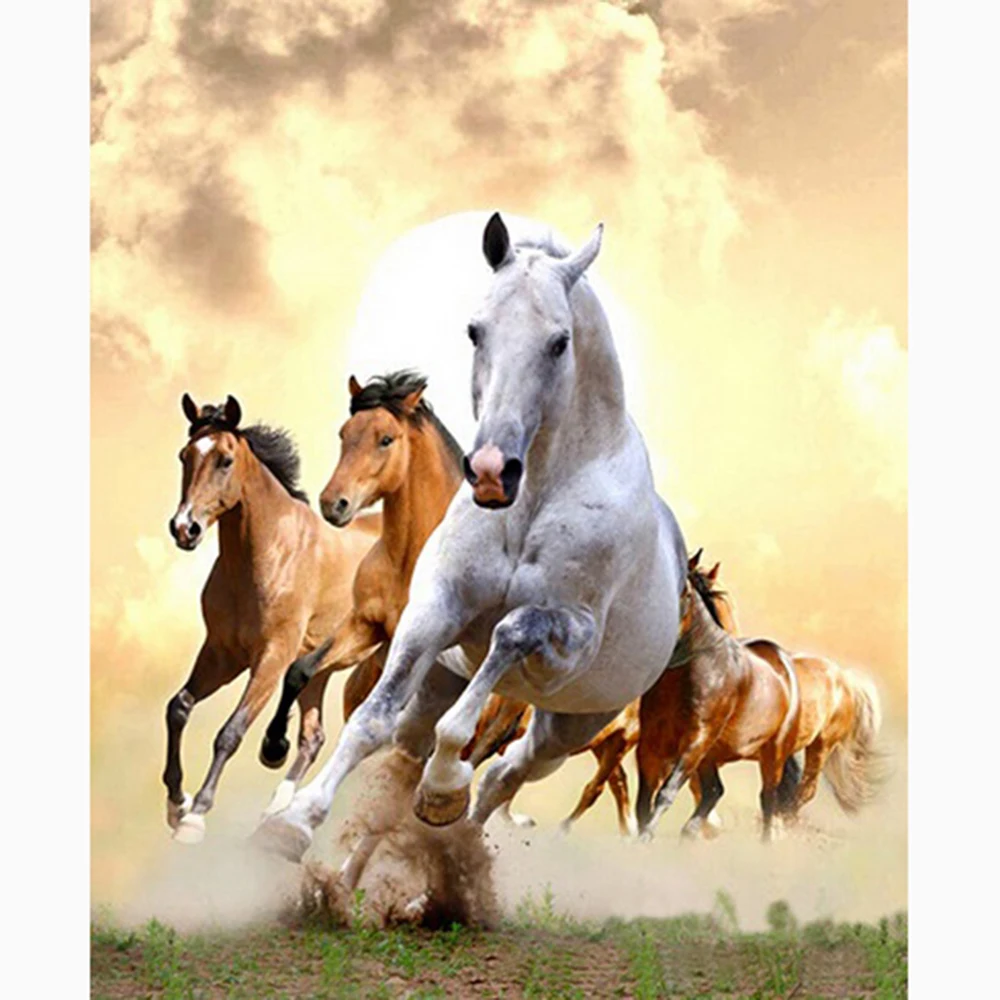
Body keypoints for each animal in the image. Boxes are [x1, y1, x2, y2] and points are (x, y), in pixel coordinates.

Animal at [162, 394, 379, 843]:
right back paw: (278, 808)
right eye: (184, 456)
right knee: (314, 736)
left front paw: (196, 816)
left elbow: (230, 732)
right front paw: (177, 803)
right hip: (323, 670)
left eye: (225, 460)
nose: (184, 528)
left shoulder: (272, 657)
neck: (269, 554)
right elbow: (179, 707)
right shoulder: (222, 653)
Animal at [255, 212, 688, 863]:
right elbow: (372, 719)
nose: (490, 471)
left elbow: (506, 640)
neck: (530, 502)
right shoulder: (433, 610)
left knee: (506, 773)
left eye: (560, 341)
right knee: (418, 752)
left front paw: (442, 787)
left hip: (570, 726)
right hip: (444, 682)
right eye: (475, 331)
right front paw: (296, 821)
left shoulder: (567, 642)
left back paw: (449, 827)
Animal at [634, 563, 802, 842]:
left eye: (686, 592)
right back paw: (689, 833)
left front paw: (645, 838)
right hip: (711, 755)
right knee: (715, 790)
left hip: (773, 752)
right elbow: (643, 802)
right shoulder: (651, 742)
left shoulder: (696, 739)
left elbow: (666, 792)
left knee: (768, 799)